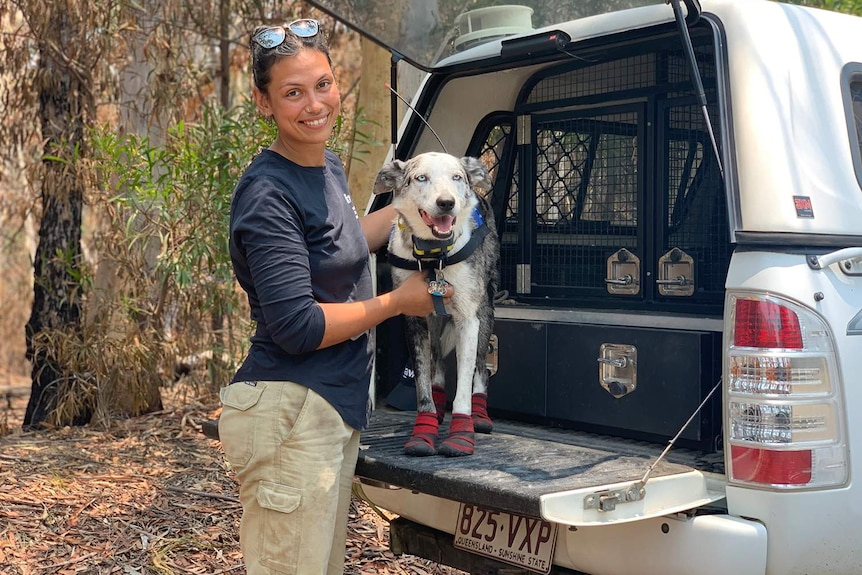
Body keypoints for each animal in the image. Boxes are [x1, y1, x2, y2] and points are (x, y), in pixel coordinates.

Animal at [374, 153, 502, 460]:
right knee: (438, 367)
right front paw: (424, 431)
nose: (446, 202)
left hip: (485, 313)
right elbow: (423, 384)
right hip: (433, 322)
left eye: (456, 177)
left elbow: (464, 385)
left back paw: (480, 416)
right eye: (421, 178)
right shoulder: (414, 319)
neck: (434, 255)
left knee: (480, 368)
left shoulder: (468, 319)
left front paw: (461, 436)